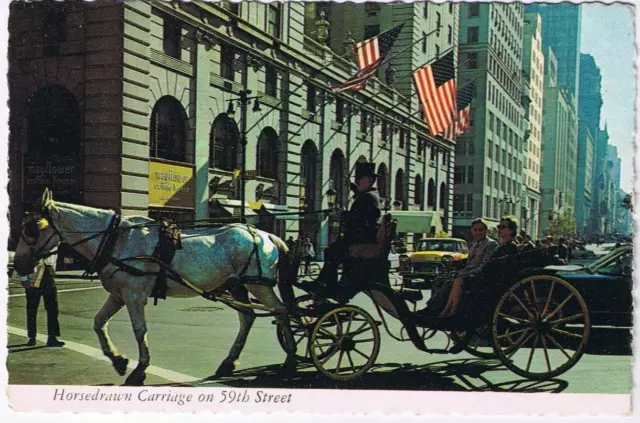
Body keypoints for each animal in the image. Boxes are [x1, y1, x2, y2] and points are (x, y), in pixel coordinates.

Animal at [12, 190, 298, 386]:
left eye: (32, 229)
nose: (18, 263)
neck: (115, 239)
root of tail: (266, 235)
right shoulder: (118, 294)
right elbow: (98, 322)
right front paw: (118, 360)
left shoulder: (134, 294)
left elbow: (140, 330)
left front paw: (139, 370)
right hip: (239, 286)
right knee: (247, 319)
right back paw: (229, 363)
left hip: (259, 286)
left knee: (282, 312)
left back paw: (290, 362)